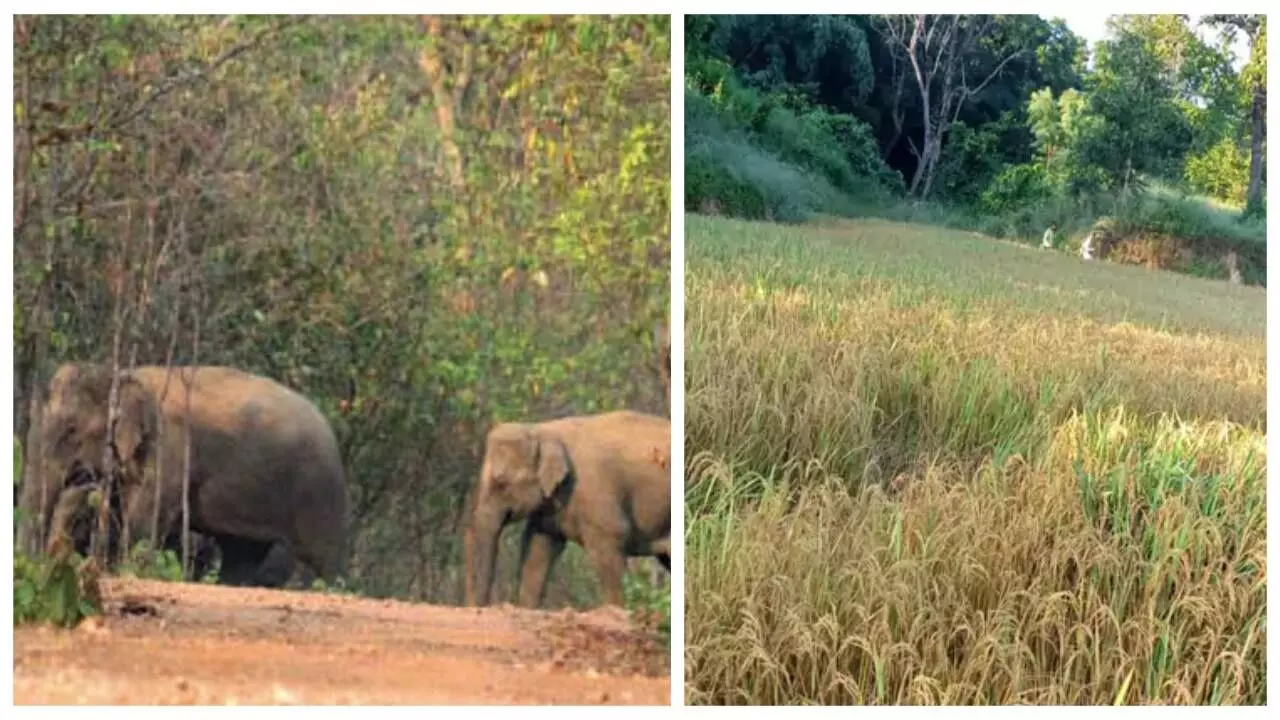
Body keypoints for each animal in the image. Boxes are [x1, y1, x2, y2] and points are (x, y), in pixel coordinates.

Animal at [20, 361, 350, 586]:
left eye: (70, 431)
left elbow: (144, 520)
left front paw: (118, 570)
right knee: (241, 553)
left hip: (320, 492)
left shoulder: (170, 447)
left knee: (322, 558)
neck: (124, 376)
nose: (81, 480)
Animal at [465, 409, 675, 604]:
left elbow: (608, 548)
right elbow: (537, 549)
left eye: (501, 484)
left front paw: (619, 610)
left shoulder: (596, 492)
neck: (541, 429)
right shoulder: (549, 507)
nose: (481, 607)